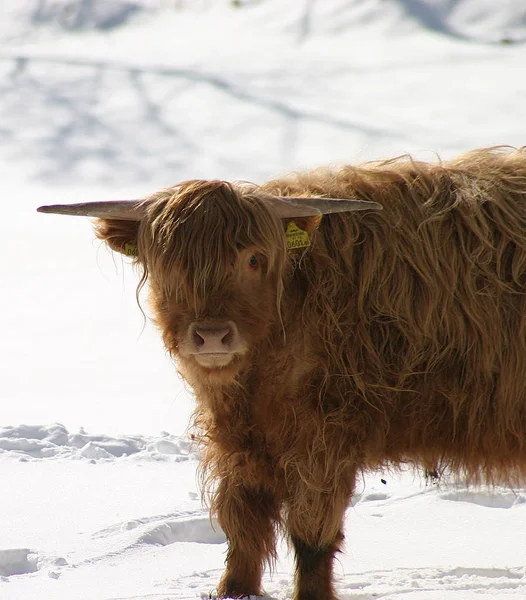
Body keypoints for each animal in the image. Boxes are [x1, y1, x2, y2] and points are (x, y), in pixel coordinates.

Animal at [38, 146, 526, 600]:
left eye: (253, 260)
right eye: (169, 264)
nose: (212, 335)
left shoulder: (322, 438)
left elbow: (311, 535)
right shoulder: (240, 443)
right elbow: (244, 526)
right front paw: (234, 588)